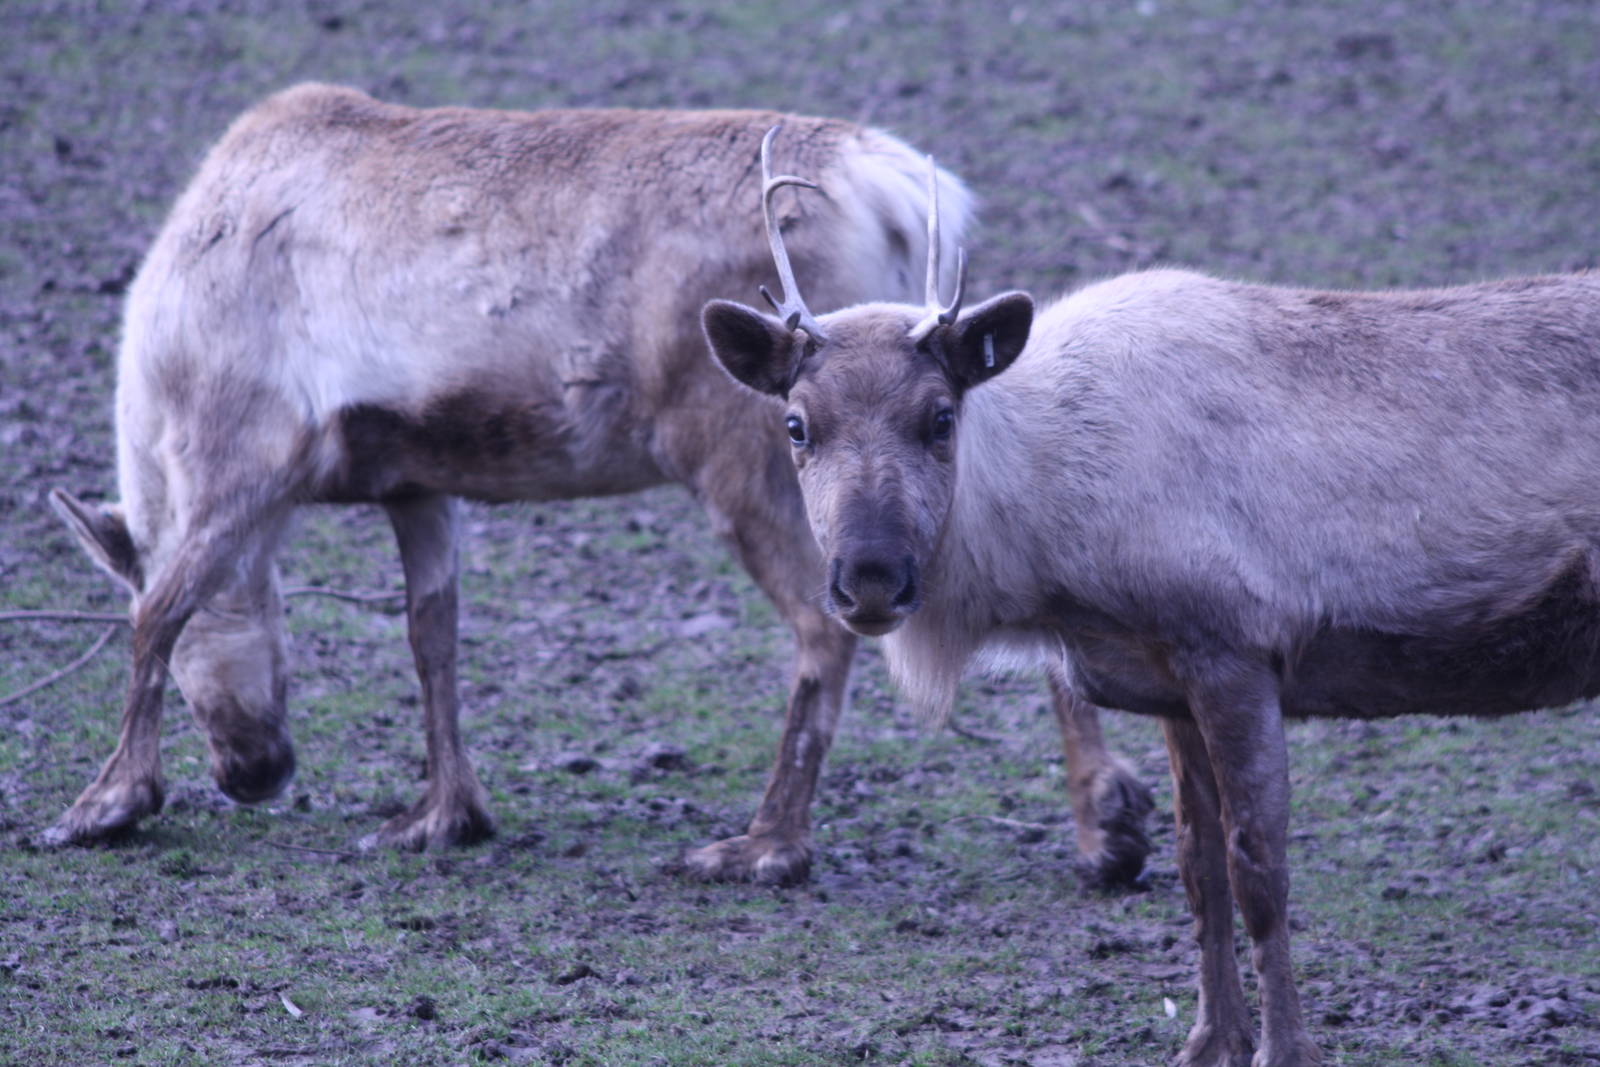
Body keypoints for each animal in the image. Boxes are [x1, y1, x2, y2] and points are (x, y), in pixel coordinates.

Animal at [44, 83, 1153, 890]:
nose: (254, 771)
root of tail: (909, 191)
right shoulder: (416, 480)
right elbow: (432, 637)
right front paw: (444, 814)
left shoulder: (246, 456)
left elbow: (156, 610)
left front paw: (107, 802)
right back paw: (1109, 825)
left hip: (747, 450)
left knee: (823, 623)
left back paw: (765, 843)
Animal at [703, 133, 1600, 1064]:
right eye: (797, 424)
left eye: (941, 416)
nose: (871, 576)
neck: (1053, 541)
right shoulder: (1168, 676)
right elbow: (1196, 867)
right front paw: (1210, 1039)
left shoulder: (1235, 651)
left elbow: (1258, 869)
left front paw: (1285, 1045)